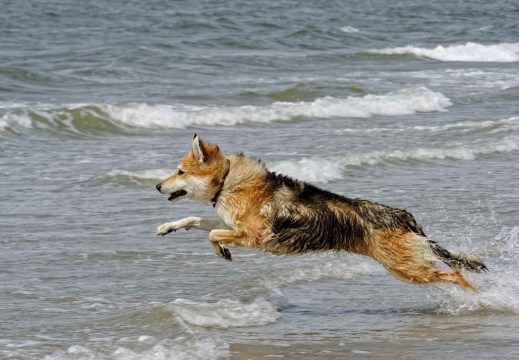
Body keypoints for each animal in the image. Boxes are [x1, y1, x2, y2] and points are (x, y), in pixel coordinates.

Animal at [156, 134, 490, 292]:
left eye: (180, 171)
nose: (158, 185)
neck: (227, 181)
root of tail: (403, 217)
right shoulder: (231, 223)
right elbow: (195, 220)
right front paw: (167, 228)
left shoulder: (254, 235)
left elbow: (213, 233)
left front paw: (222, 251)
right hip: (408, 265)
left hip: (406, 269)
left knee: (456, 274)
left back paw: (480, 300)